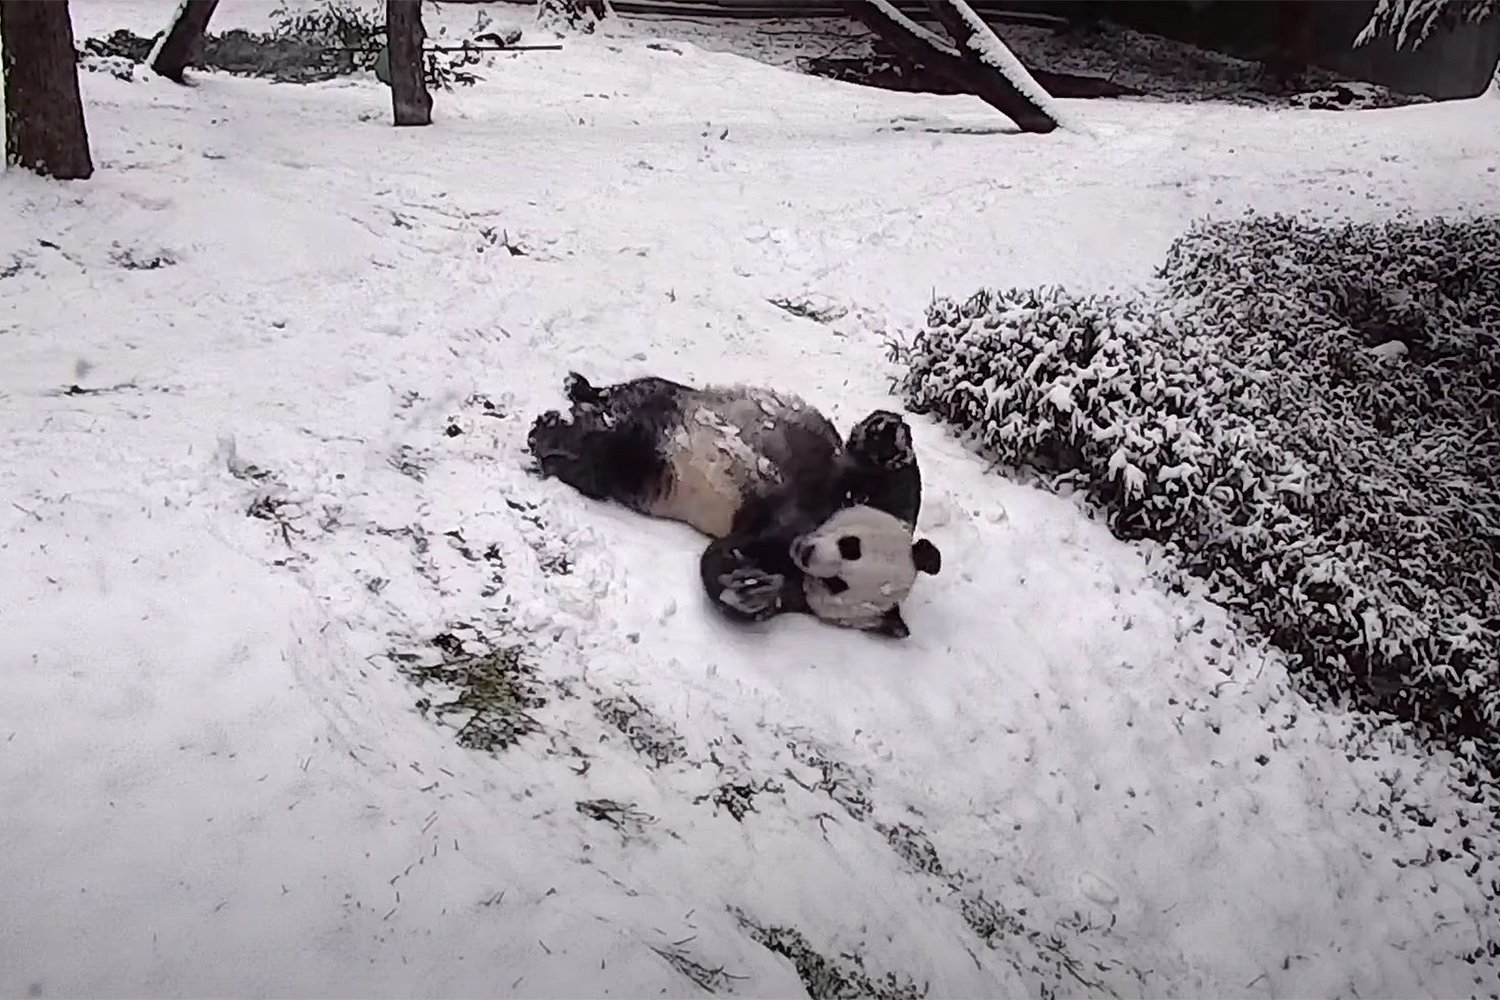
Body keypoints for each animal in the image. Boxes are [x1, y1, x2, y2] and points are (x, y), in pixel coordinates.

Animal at [531, 371, 936, 638]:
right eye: (851, 546)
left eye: (837, 583)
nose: (806, 552)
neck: (816, 519)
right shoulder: (858, 488)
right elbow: (892, 474)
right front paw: (887, 437)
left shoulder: (787, 570)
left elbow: (738, 560)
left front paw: (749, 590)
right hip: (670, 399)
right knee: (631, 391)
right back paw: (573, 399)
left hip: (642, 475)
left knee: (607, 462)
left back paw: (556, 441)